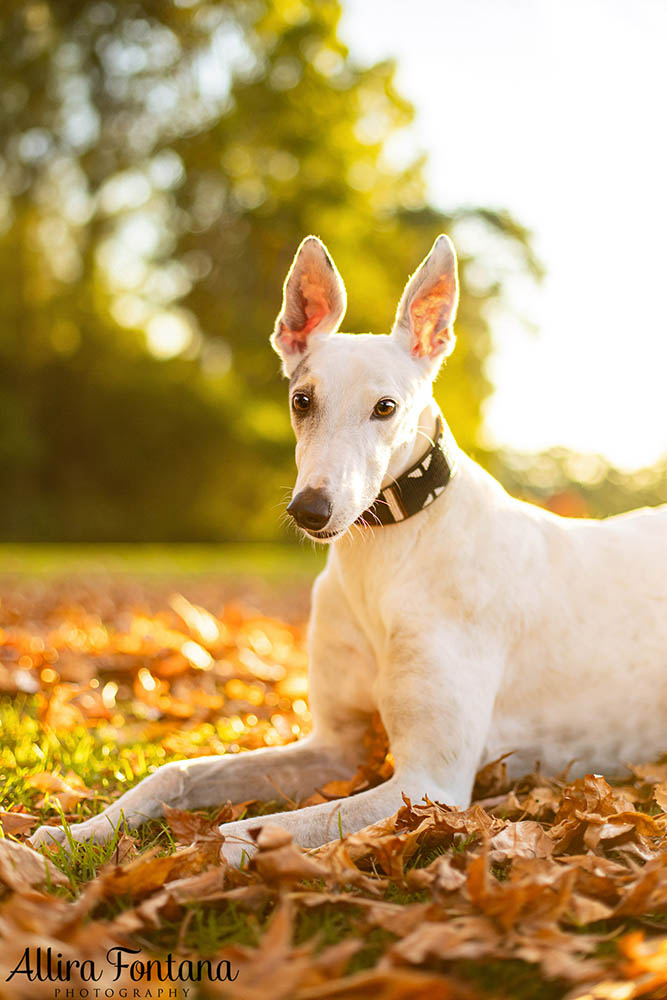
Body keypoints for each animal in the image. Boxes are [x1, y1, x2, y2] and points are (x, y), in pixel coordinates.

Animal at [30, 238, 667, 864]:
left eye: (385, 407)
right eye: (302, 400)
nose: (310, 510)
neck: (383, 561)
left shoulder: (429, 782)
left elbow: (247, 833)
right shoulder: (335, 746)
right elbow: (175, 773)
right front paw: (77, 833)